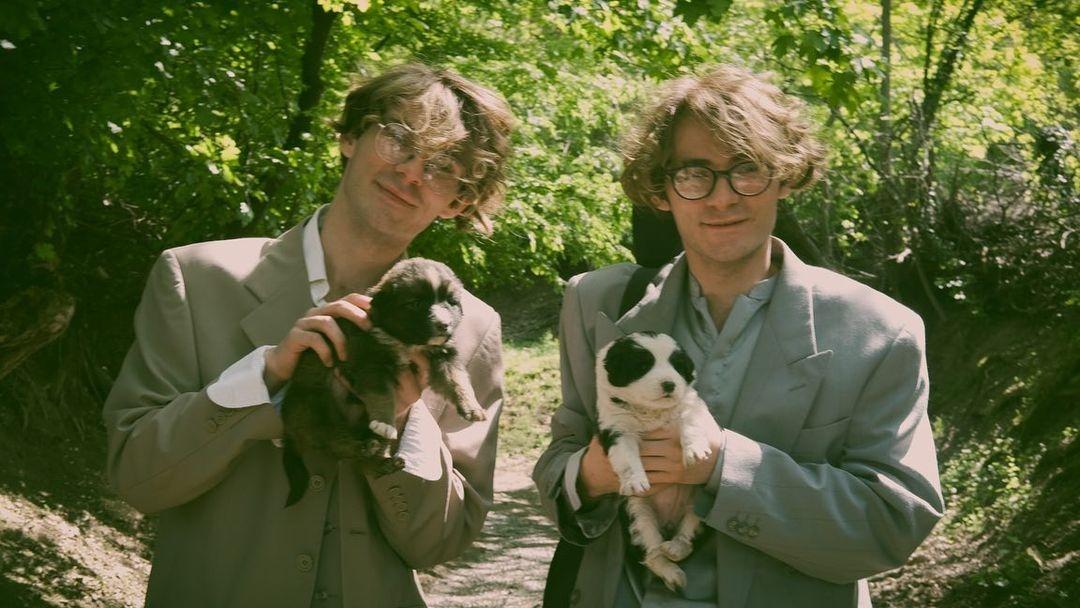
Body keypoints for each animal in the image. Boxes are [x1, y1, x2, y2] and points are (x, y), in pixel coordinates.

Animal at [280, 257, 486, 507]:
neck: (405, 340)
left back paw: (383, 459)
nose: (444, 325)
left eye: (451, 302)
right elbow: (382, 393)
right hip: (312, 407)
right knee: (336, 442)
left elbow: (457, 380)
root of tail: (289, 435)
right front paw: (384, 423)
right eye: (415, 303)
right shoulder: (369, 359)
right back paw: (366, 447)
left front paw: (472, 408)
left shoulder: (443, 355)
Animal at [595, 331, 715, 591]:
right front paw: (635, 481)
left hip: (698, 508)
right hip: (638, 515)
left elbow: (690, 423)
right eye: (642, 366)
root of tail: (668, 523)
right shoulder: (617, 429)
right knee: (652, 553)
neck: (651, 412)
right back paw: (672, 572)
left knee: (687, 537)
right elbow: (627, 458)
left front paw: (695, 451)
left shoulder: (691, 407)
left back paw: (675, 548)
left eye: (677, 366)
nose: (670, 384)